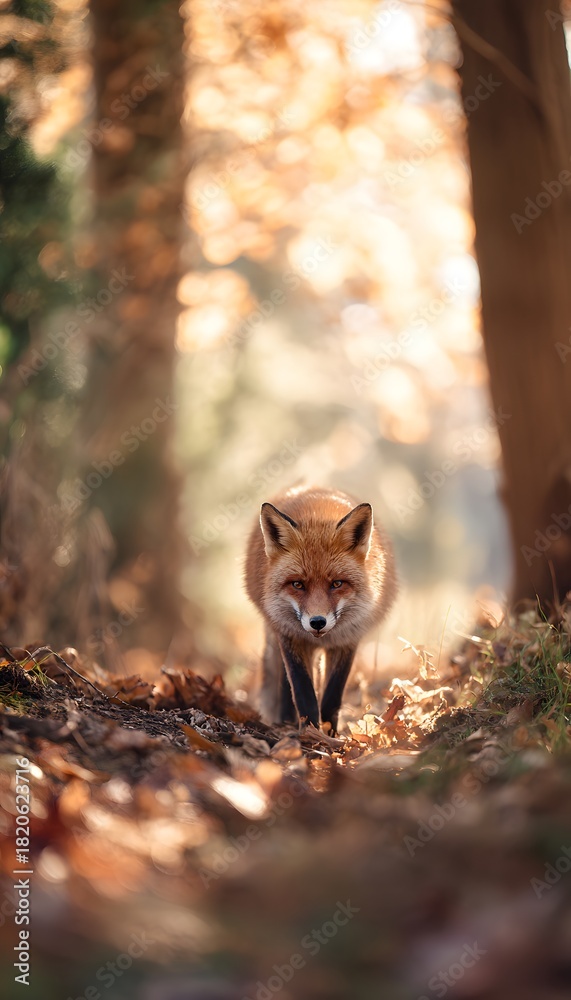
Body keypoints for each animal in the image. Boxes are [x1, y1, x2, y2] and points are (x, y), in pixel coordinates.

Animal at [244, 486, 397, 734]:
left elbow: (332, 696)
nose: (317, 622)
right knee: (285, 684)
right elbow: (303, 691)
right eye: (298, 584)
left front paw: (330, 732)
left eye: (337, 583)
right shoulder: (290, 637)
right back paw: (285, 721)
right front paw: (310, 731)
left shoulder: (346, 640)